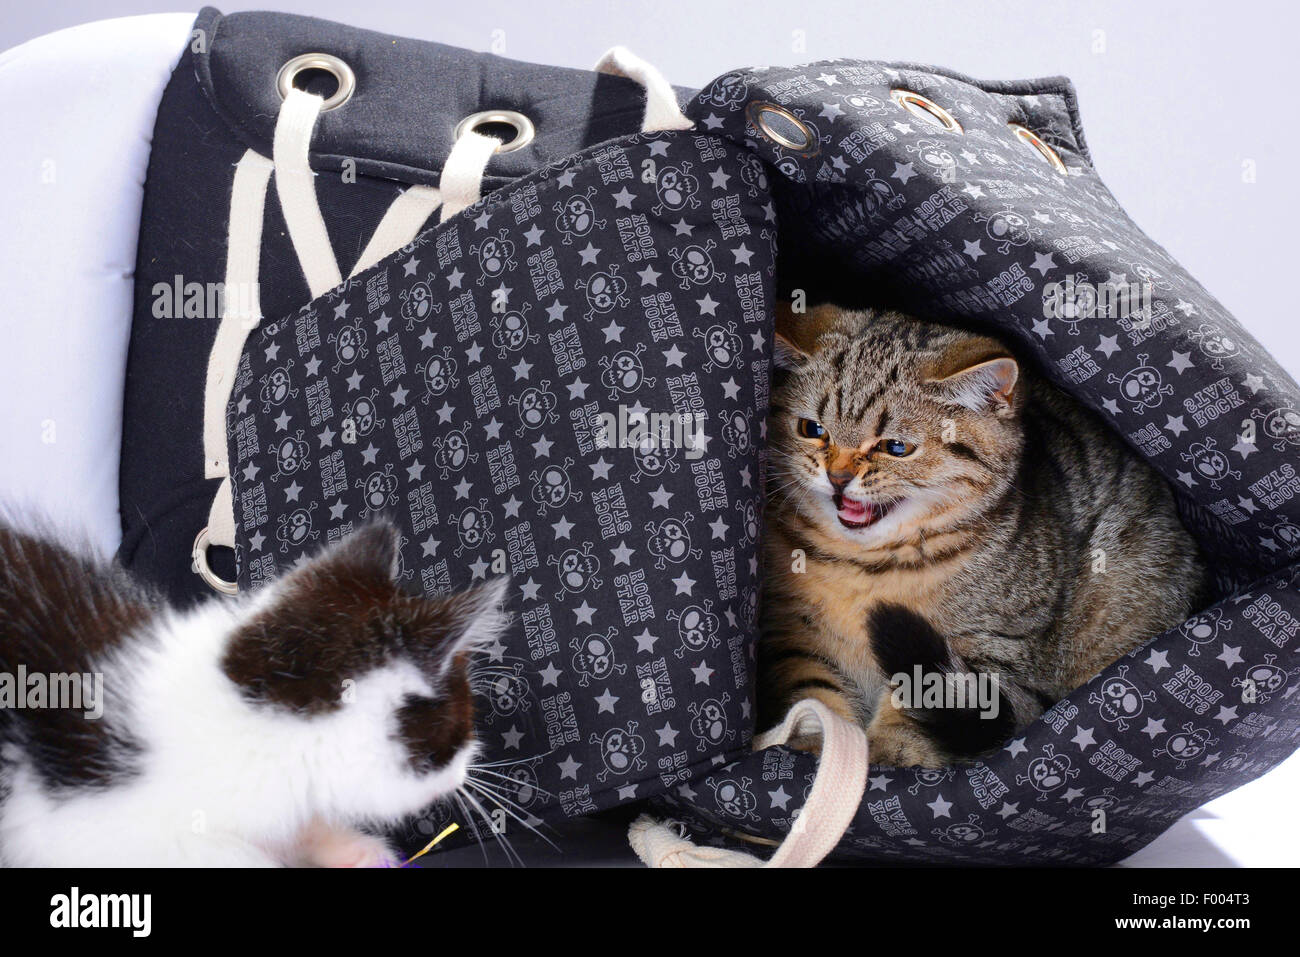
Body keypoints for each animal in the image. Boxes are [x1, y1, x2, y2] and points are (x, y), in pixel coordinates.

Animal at [759, 306, 1206, 769]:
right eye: (811, 428)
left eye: (896, 448)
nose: (837, 477)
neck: (866, 563)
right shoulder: (794, 633)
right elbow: (815, 693)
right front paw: (817, 741)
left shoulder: (998, 648)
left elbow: (926, 691)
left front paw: (894, 748)